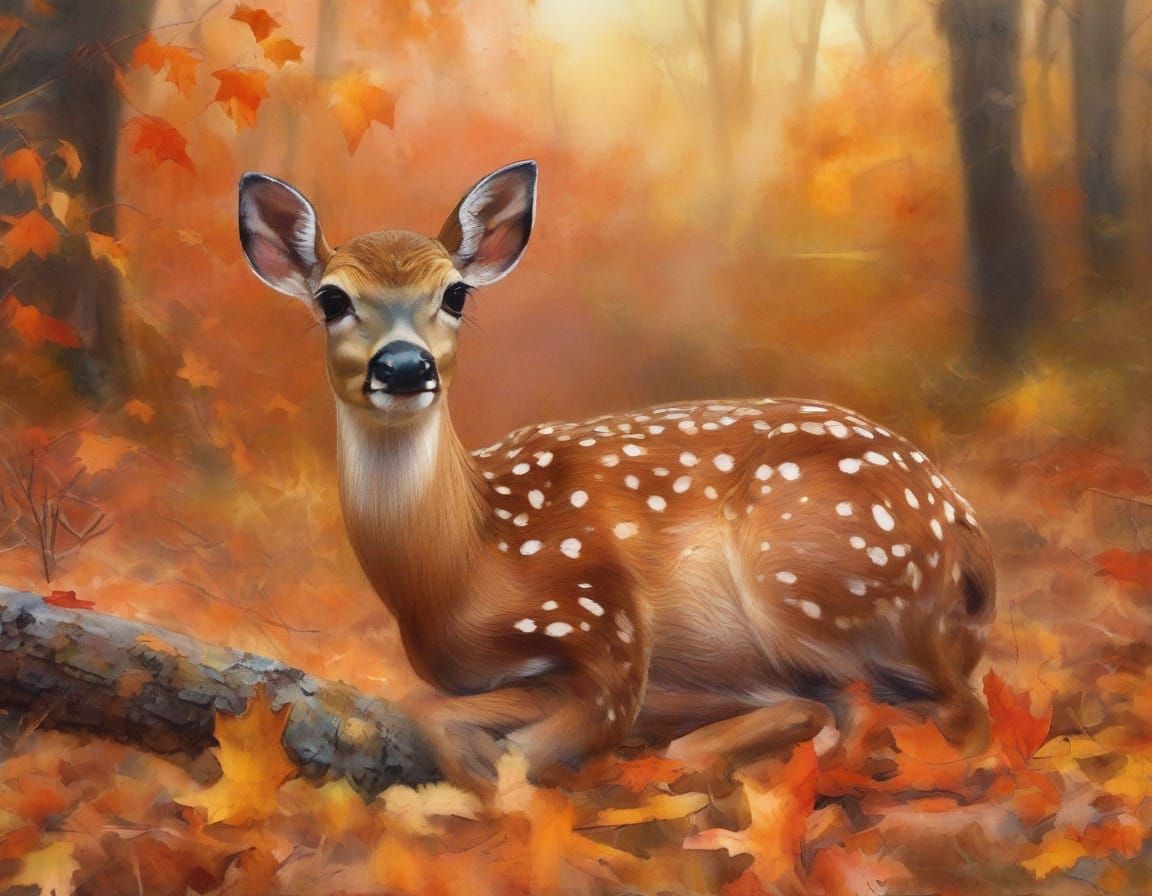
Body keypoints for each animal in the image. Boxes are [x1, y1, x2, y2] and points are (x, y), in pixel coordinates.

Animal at [238, 161, 996, 795]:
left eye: (454, 293)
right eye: (331, 299)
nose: (403, 365)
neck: (459, 569)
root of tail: (964, 527)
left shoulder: (608, 621)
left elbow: (528, 745)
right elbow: (428, 702)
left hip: (803, 573)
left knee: (931, 713)